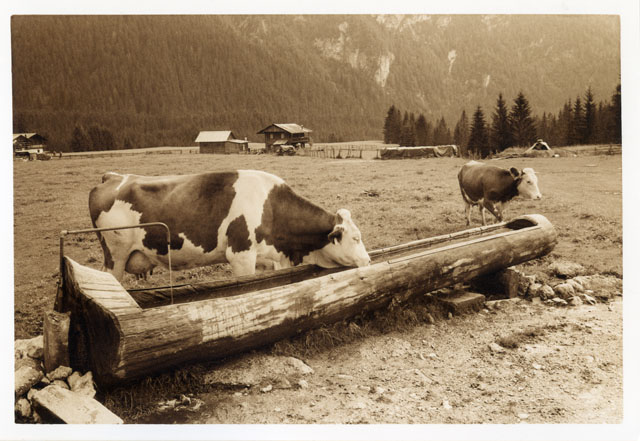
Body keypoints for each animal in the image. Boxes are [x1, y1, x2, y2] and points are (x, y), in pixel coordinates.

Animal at [88, 170, 371, 281]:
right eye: (356, 238)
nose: (368, 260)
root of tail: (113, 177)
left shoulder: (272, 258)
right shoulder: (240, 255)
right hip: (115, 255)